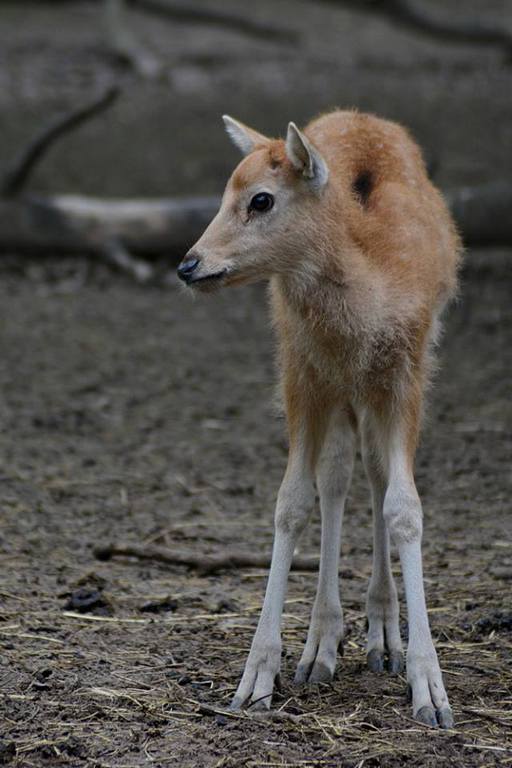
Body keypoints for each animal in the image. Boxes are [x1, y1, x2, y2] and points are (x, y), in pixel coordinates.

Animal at [178, 108, 462, 728]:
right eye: (224, 192)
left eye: (260, 199)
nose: (189, 264)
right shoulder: (302, 373)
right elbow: (291, 503)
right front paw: (256, 679)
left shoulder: (407, 370)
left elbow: (405, 507)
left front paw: (430, 691)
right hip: (331, 386)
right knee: (337, 475)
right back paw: (322, 645)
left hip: (375, 388)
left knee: (375, 475)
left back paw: (384, 638)